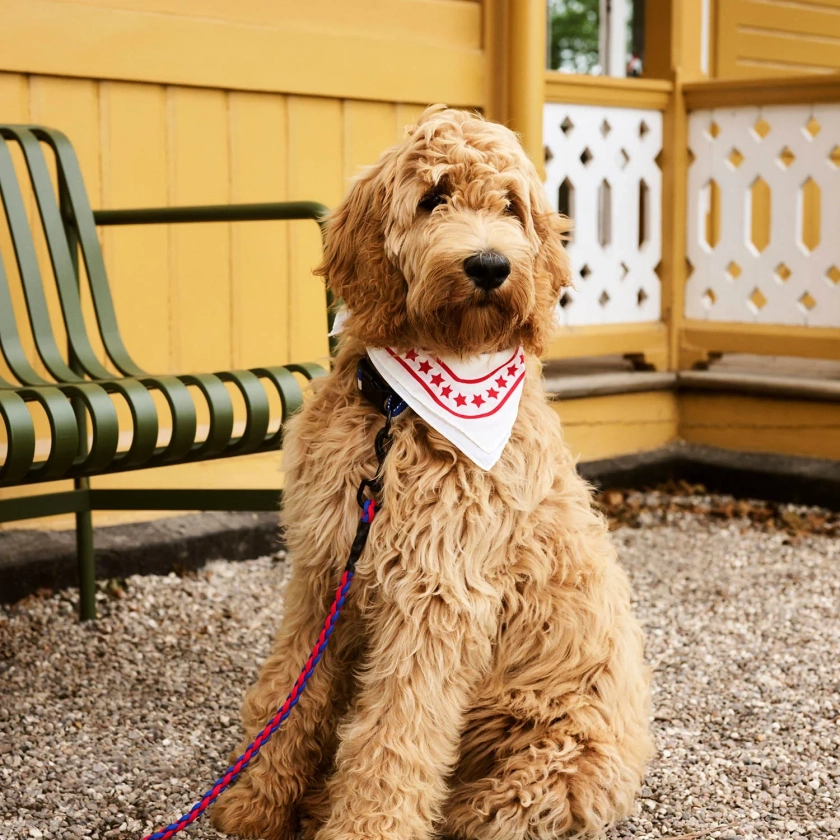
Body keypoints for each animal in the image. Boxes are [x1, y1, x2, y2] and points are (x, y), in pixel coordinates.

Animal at [212, 106, 656, 840]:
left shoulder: (438, 593)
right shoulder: (325, 572)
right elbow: (290, 690)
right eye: (433, 197)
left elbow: (395, 732)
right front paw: (255, 802)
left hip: (538, 772)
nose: (490, 265)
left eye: (509, 206)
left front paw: (363, 828)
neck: (398, 413)